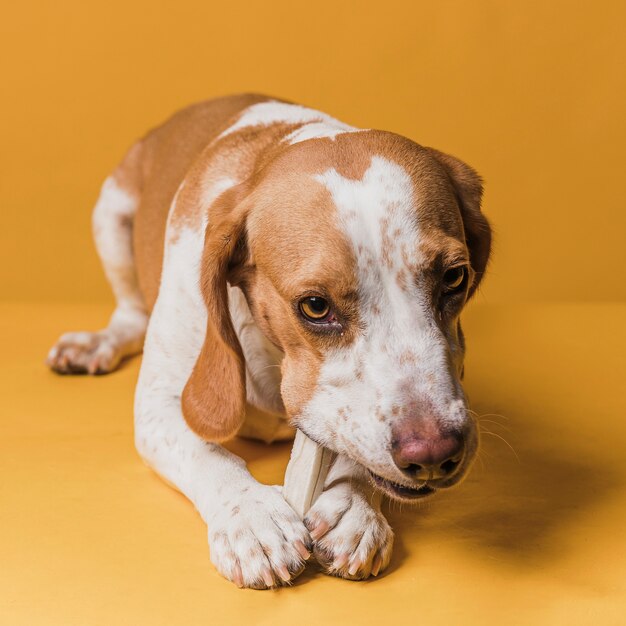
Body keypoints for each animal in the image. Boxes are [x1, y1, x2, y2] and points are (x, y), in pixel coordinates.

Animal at [46, 92, 490, 584]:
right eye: (315, 306)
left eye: (454, 277)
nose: (433, 453)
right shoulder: (158, 406)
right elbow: (209, 454)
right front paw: (251, 515)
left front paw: (352, 505)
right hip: (110, 215)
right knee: (130, 315)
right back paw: (98, 342)